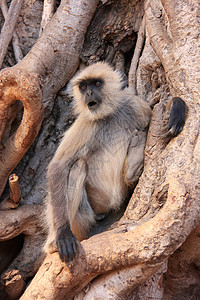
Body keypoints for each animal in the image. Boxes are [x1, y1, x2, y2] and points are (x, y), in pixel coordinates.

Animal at [44, 62, 187, 264]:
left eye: (97, 84)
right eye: (83, 87)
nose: (89, 94)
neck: (108, 114)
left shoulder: (131, 104)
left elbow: (153, 113)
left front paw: (177, 105)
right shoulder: (86, 122)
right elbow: (58, 167)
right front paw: (62, 234)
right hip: (84, 217)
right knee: (77, 166)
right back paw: (53, 242)